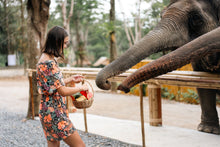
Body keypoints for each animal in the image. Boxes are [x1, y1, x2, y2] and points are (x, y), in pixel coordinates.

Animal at [96, 0, 220, 135]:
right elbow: (201, 79)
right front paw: (208, 130)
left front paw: (208, 130)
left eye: (196, 18)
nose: (119, 86)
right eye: (161, 15)